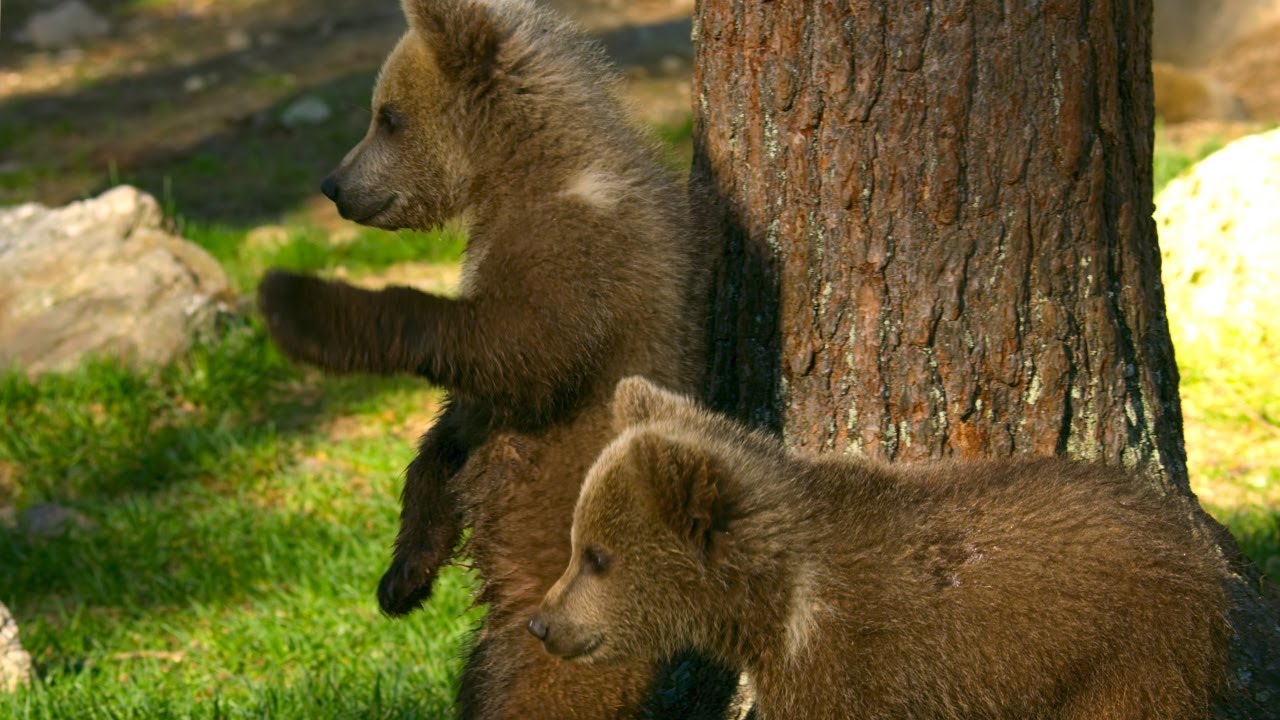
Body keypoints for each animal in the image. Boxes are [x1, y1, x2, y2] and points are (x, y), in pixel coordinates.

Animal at [256, 1, 738, 718]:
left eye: (388, 116)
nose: (335, 185)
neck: (521, 176)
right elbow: (452, 433)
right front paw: (403, 576)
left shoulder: (581, 261)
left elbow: (518, 353)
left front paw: (298, 305)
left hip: (566, 617)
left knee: (542, 694)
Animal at [532, 377, 1232, 720]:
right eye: (578, 545)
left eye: (597, 556)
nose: (543, 622)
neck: (775, 604)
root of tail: (1196, 546)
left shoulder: (848, 665)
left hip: (1126, 660)